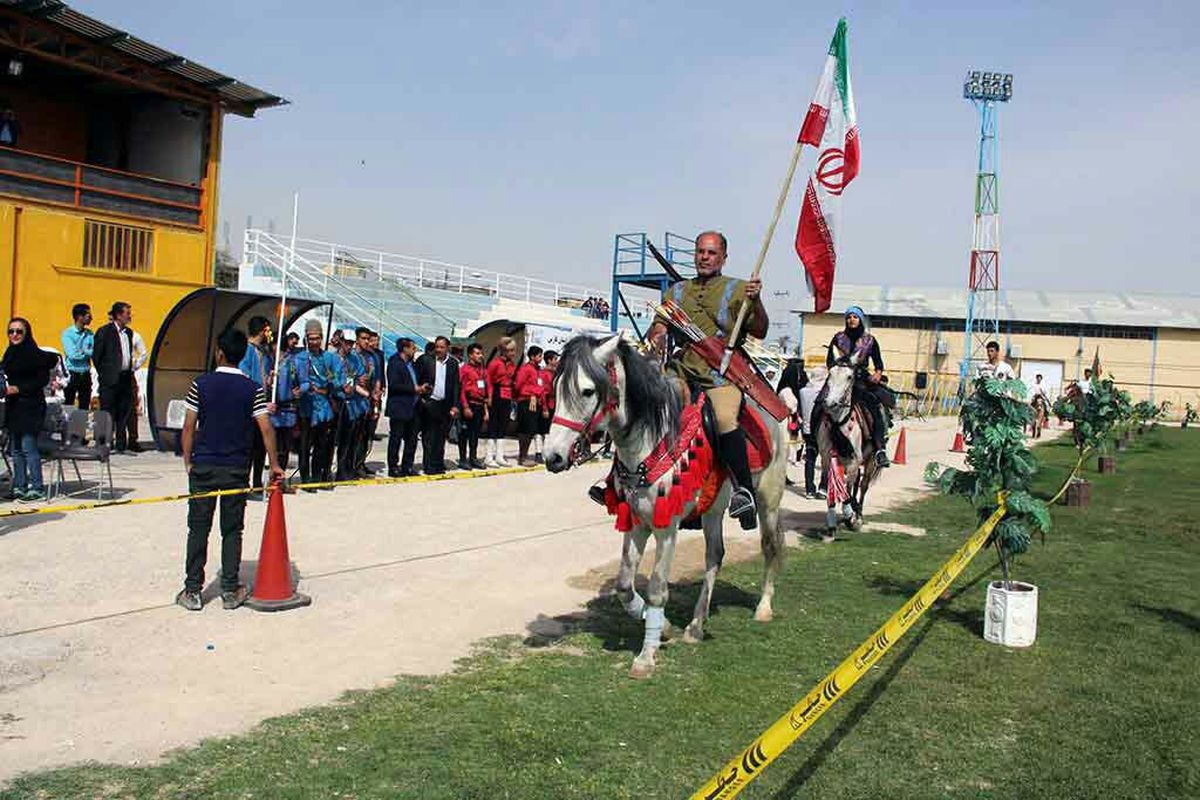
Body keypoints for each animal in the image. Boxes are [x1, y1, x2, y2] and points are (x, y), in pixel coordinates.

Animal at [544, 335, 787, 681]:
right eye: (555, 389)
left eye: (588, 391)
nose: (552, 457)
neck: (648, 443)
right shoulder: (635, 523)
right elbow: (624, 585)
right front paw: (662, 626)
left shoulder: (665, 528)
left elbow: (658, 588)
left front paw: (647, 655)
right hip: (712, 511)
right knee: (715, 556)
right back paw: (696, 625)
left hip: (769, 500)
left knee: (770, 546)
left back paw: (763, 608)